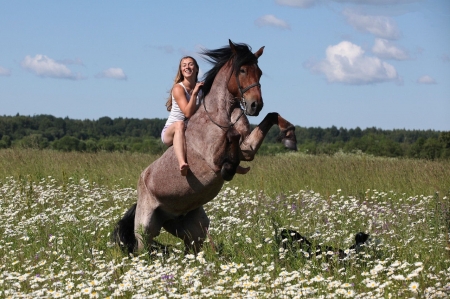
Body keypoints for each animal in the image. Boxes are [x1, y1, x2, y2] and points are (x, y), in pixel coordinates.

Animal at [112, 39, 298, 255]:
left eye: (259, 72)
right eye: (242, 70)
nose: (255, 105)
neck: (220, 113)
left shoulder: (248, 148)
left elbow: (271, 117)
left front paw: (289, 136)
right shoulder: (214, 158)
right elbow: (231, 138)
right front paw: (229, 168)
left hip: (194, 229)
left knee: (192, 249)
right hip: (146, 229)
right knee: (144, 250)